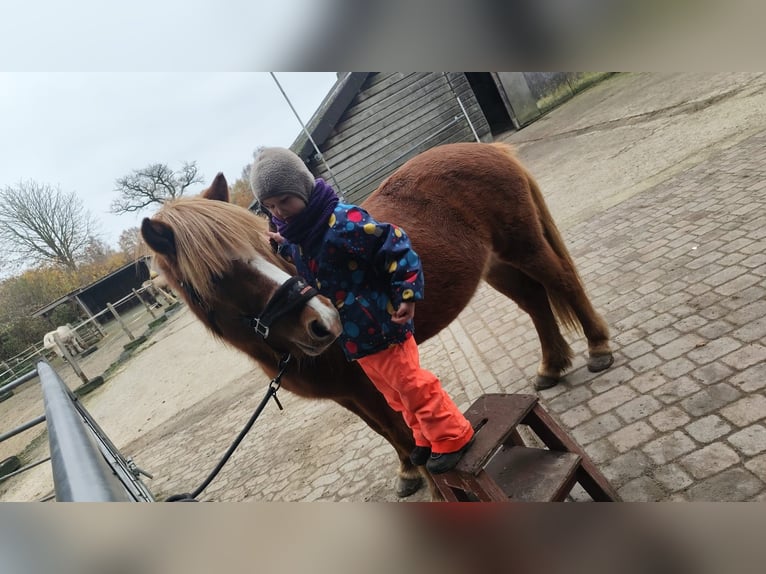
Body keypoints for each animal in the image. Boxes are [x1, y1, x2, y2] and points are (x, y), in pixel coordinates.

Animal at [140, 141, 613, 500]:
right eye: (218, 276)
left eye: (264, 244)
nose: (323, 322)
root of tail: (488, 148)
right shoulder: (348, 394)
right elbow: (386, 433)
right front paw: (408, 474)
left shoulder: (370, 385)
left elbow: (401, 431)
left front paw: (429, 481)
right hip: (495, 266)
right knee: (535, 302)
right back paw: (551, 366)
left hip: (524, 247)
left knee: (563, 283)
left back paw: (597, 349)